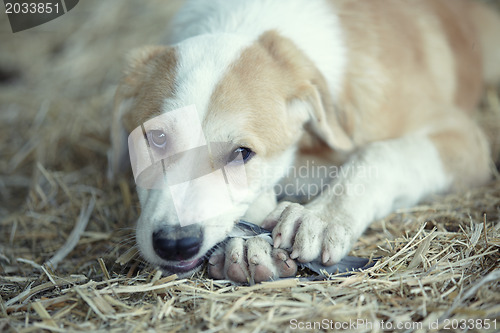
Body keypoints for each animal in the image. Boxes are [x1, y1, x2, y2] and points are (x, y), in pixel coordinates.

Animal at [109, 0, 500, 282]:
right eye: (156, 138)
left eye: (242, 153)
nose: (175, 245)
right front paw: (249, 244)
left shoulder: (460, 135)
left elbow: (380, 154)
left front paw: (321, 217)